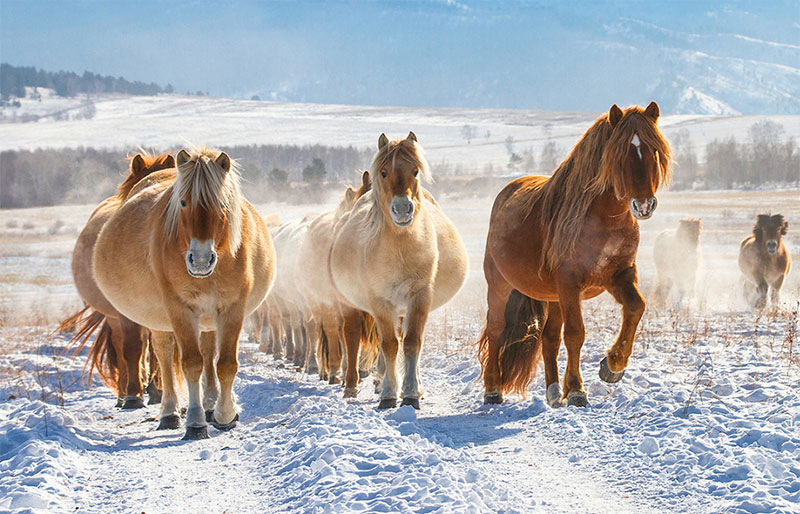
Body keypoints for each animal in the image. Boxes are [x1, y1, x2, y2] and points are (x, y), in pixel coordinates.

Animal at [58, 152, 175, 409]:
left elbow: (154, 350)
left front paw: (156, 389)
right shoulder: (124, 315)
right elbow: (131, 349)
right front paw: (133, 394)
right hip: (113, 319)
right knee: (122, 349)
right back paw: (124, 394)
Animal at [93, 147, 276, 440]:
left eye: (223, 205)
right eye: (182, 202)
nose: (200, 260)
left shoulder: (233, 307)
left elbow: (225, 364)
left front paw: (225, 414)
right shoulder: (179, 308)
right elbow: (191, 363)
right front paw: (195, 422)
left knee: (208, 353)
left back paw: (211, 405)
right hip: (162, 319)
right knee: (165, 356)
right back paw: (169, 412)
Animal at [330, 132, 468, 409]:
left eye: (415, 171)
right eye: (383, 173)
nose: (403, 209)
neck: (400, 251)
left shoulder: (419, 297)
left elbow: (412, 343)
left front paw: (411, 393)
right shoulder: (380, 301)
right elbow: (389, 344)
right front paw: (388, 394)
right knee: (369, 340)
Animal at [478, 102, 672, 408]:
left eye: (654, 150)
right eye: (619, 154)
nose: (644, 205)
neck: (604, 219)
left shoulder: (619, 276)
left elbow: (636, 307)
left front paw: (612, 366)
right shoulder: (570, 283)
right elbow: (576, 333)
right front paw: (578, 390)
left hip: (553, 296)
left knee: (549, 337)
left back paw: (554, 392)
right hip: (501, 285)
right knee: (497, 328)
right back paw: (493, 389)